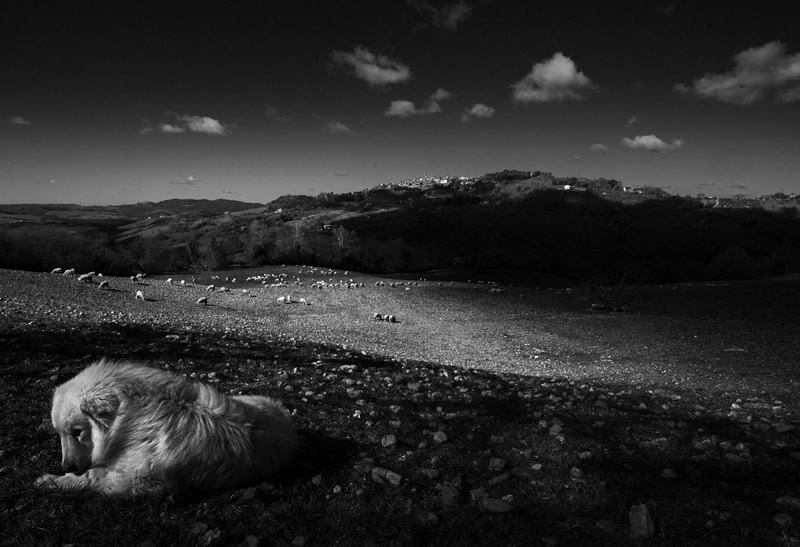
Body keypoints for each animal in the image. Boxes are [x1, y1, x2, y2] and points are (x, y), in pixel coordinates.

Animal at [34, 362, 296, 498]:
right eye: (60, 434)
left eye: (77, 431)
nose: (67, 466)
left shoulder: (140, 481)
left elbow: (92, 476)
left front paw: (52, 480)